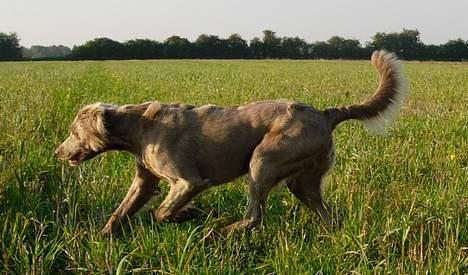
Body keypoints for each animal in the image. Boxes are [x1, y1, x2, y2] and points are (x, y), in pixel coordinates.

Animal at [54, 51, 406, 235]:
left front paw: (187, 215)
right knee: (327, 214)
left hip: (263, 159)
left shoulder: (189, 181)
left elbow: (162, 212)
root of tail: (324, 113)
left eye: (72, 131)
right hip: (303, 180)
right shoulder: (144, 180)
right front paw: (100, 238)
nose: (57, 152)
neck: (139, 126)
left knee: (254, 215)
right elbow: (121, 210)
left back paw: (222, 232)